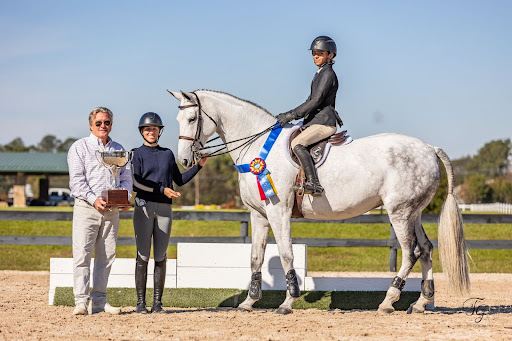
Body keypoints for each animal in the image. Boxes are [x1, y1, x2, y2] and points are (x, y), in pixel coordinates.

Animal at [169, 88, 472, 314]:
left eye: (193, 119)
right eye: (178, 119)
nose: (184, 160)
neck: (257, 147)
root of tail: (429, 148)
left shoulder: (278, 212)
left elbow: (287, 254)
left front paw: (287, 302)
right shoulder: (259, 215)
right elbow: (255, 257)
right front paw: (248, 302)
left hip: (399, 213)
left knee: (410, 252)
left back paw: (388, 301)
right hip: (413, 213)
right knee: (426, 249)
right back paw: (420, 303)